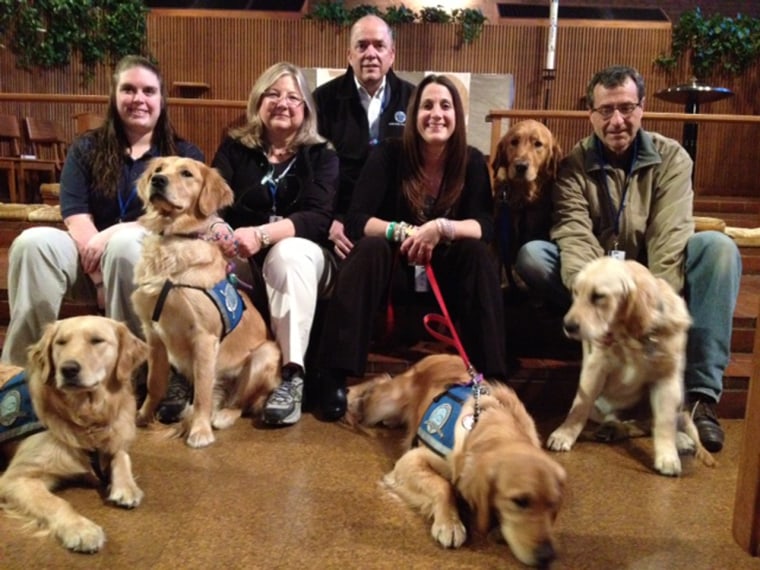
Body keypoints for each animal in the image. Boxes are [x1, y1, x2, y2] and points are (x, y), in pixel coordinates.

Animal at [0, 316, 148, 552]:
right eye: (60, 342)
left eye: (97, 340)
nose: (68, 369)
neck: (85, 418)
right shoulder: (15, 478)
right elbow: (56, 502)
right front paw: (81, 529)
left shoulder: (115, 436)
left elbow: (122, 456)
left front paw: (127, 487)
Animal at [134, 156, 282, 448]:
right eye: (158, 170)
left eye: (186, 174)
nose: (158, 181)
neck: (173, 241)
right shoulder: (153, 333)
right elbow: (154, 383)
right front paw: (143, 416)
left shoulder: (204, 337)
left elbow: (202, 391)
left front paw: (200, 431)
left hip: (265, 354)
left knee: (241, 402)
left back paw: (222, 415)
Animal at [342, 352, 564, 564]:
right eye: (519, 501)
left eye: (553, 505)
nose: (547, 556)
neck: (489, 428)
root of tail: (439, 355)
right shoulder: (411, 459)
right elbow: (444, 485)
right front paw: (450, 524)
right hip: (382, 405)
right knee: (380, 379)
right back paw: (351, 398)